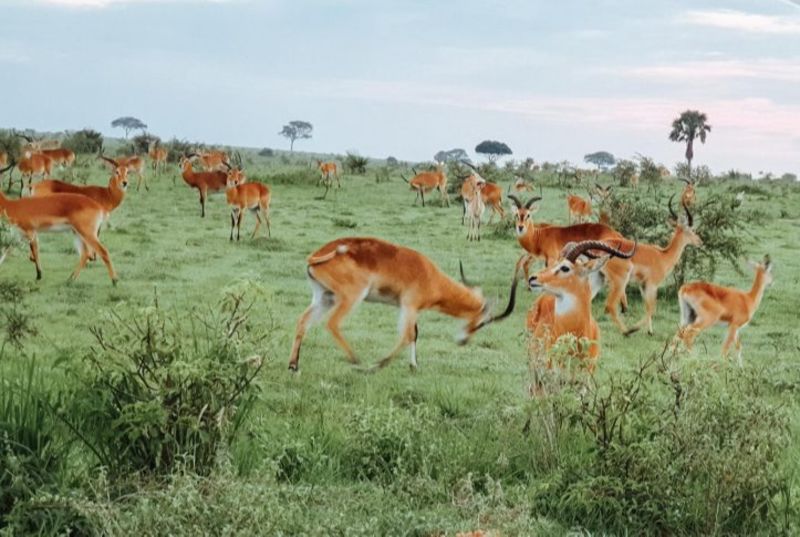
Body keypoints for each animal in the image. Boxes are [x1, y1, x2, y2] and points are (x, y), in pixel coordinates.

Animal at [288, 237, 520, 370]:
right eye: (482, 323)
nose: (464, 341)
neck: (431, 276)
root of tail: (315, 255)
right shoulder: (409, 306)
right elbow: (407, 335)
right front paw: (379, 364)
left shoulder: (410, 309)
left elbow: (414, 334)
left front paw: (413, 365)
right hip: (351, 297)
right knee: (332, 323)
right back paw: (356, 360)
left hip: (325, 297)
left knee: (303, 321)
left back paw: (293, 365)